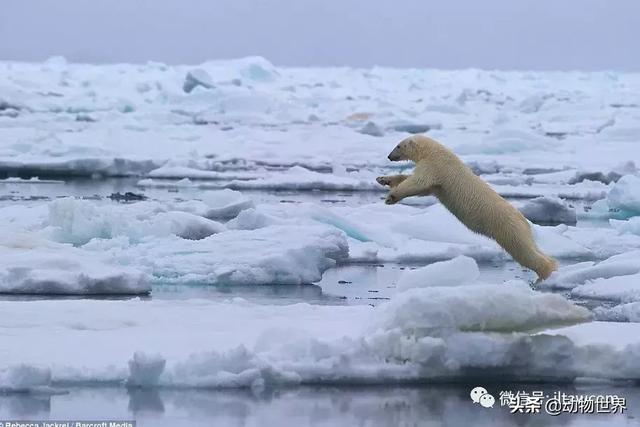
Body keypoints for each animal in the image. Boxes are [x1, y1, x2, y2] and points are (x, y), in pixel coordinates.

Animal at [378, 135, 556, 282]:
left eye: (398, 146)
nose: (389, 156)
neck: (433, 151)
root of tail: (525, 222)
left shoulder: (435, 166)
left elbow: (417, 182)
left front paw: (390, 197)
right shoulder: (437, 182)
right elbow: (421, 187)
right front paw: (383, 179)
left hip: (507, 228)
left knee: (523, 251)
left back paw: (544, 275)